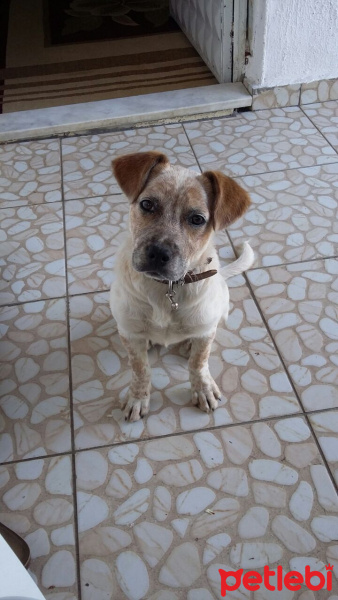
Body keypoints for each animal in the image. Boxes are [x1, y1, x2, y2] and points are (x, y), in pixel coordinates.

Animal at [109, 150, 254, 422]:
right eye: (147, 204)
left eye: (197, 219)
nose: (158, 254)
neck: (167, 289)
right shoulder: (129, 333)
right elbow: (140, 368)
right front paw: (138, 397)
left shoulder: (205, 332)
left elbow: (199, 362)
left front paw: (202, 389)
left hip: (220, 306)